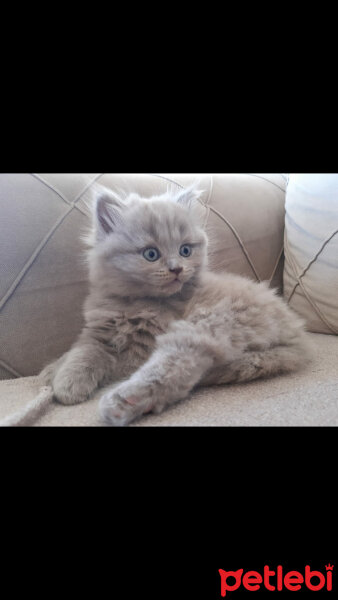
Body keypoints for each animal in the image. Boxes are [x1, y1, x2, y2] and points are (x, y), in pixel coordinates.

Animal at [37, 185, 312, 424]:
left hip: (206, 325)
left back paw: (121, 403)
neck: (136, 303)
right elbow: (82, 351)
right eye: (151, 254)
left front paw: (64, 384)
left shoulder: (137, 349)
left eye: (185, 251)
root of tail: (298, 335)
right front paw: (55, 373)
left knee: (173, 369)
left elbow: (90, 355)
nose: (177, 269)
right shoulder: (99, 331)